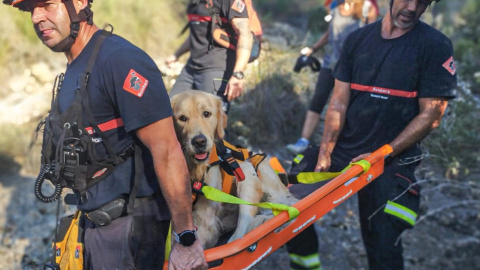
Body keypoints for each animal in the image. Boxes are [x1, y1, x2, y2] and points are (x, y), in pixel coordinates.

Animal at [171, 90, 298, 249]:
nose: (199, 141)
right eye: (182, 118)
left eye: (206, 114)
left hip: (245, 170)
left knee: (243, 227)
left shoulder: (206, 215)